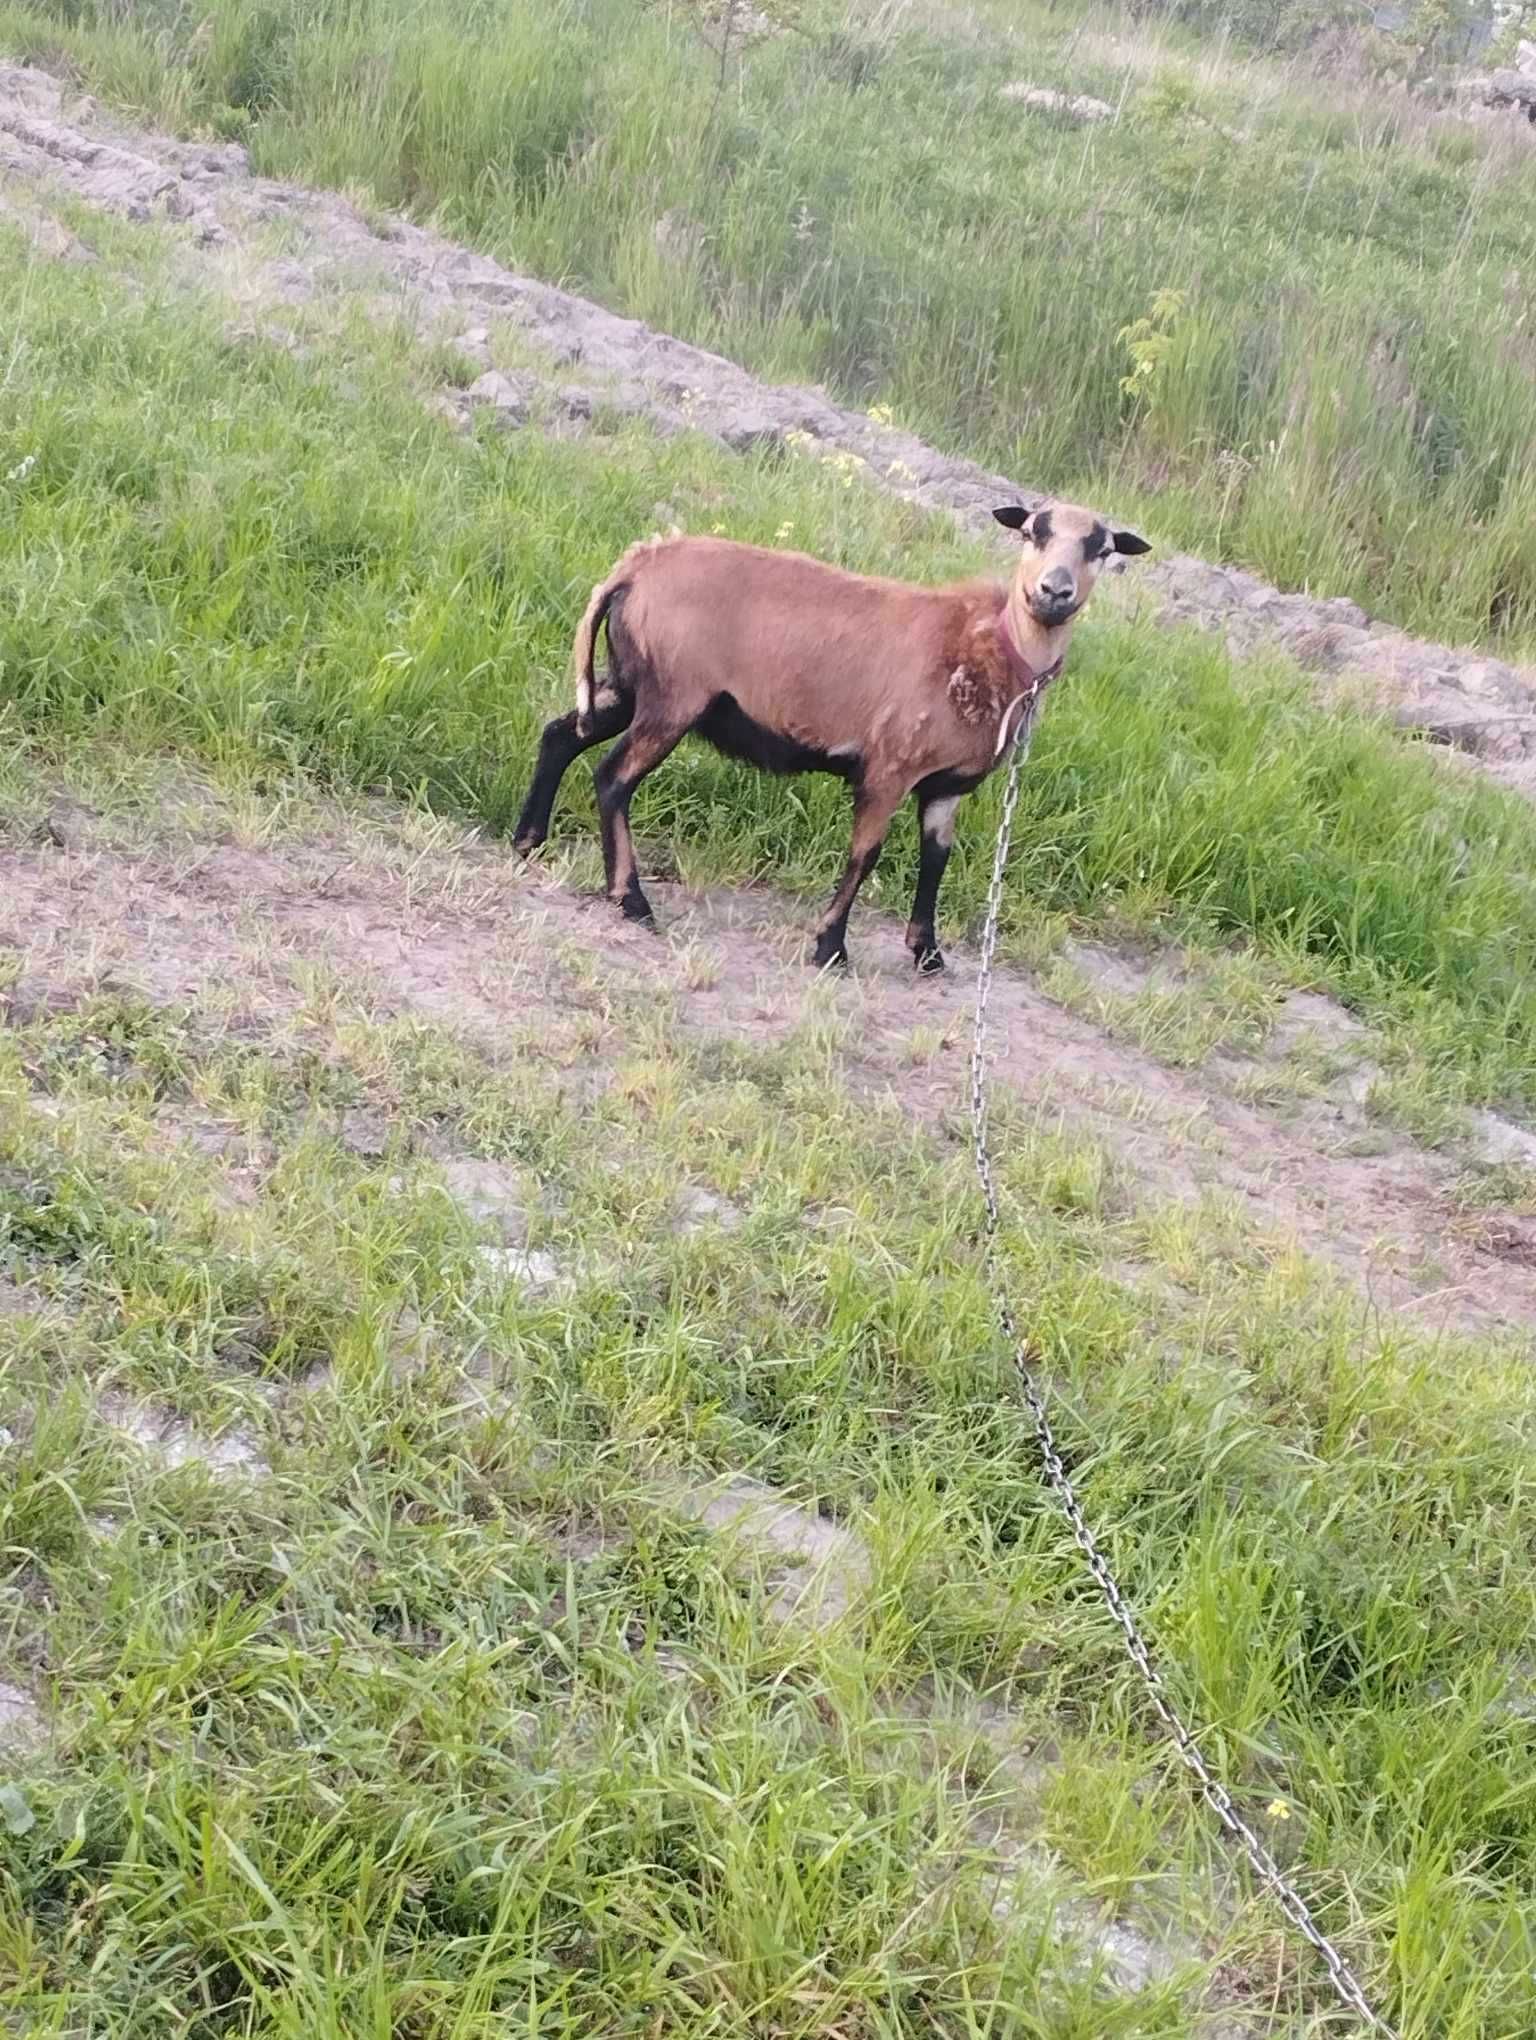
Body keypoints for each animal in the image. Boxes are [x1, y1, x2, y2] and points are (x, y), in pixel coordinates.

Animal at [516, 497, 1150, 966]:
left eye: (1102, 548)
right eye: (1032, 532)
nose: (1054, 591)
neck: (994, 646)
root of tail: (634, 567)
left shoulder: (946, 785)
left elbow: (936, 858)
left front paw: (927, 954)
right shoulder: (890, 765)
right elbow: (865, 855)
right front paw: (830, 948)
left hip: (632, 681)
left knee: (560, 734)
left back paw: (529, 841)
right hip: (674, 695)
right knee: (613, 778)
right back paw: (631, 900)